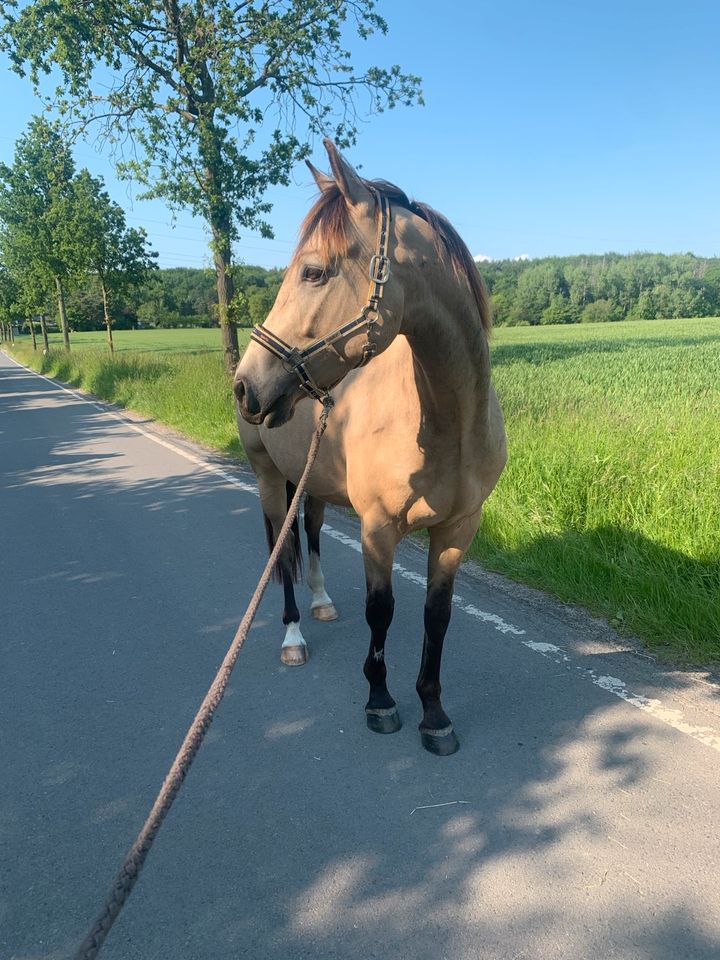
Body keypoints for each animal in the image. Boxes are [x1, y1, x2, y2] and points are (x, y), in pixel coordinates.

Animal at [233, 141, 504, 756]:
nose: (246, 386)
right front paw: (381, 701)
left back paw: (321, 602)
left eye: (313, 271)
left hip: (310, 481)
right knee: (281, 549)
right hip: (266, 476)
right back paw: (293, 633)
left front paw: (434, 713)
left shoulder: (458, 530)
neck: (446, 425)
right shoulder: (377, 528)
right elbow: (381, 612)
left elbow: (436, 616)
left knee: (308, 533)